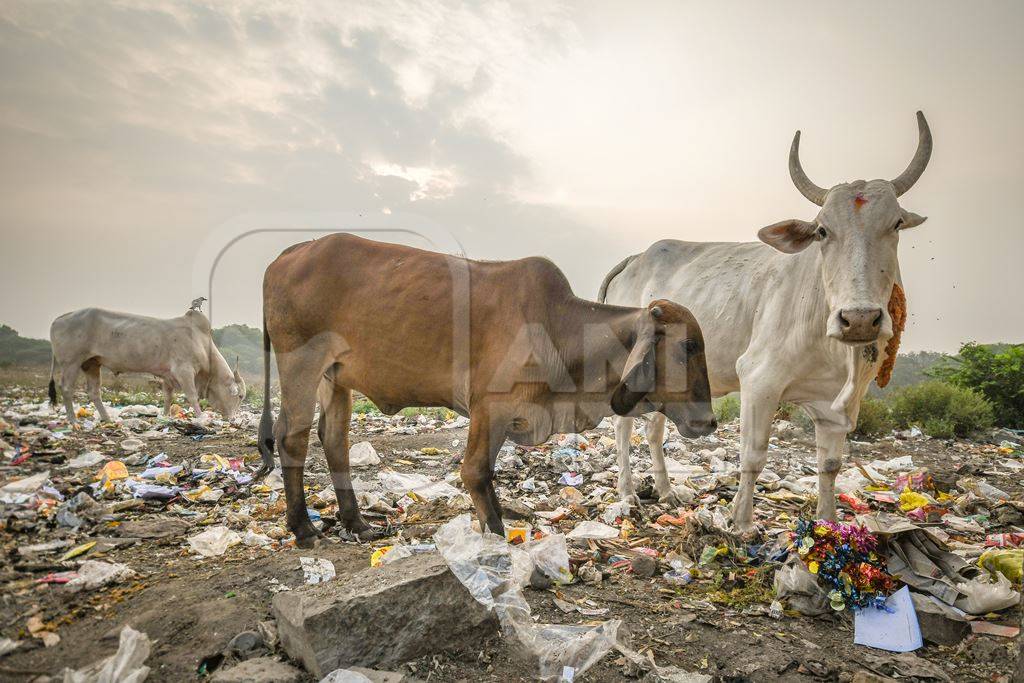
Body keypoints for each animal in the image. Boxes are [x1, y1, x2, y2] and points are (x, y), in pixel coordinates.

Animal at [49, 309, 245, 421]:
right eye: (240, 396)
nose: (234, 420)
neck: (202, 343)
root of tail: (58, 319)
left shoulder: (167, 374)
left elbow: (168, 397)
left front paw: (165, 416)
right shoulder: (184, 371)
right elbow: (192, 396)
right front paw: (202, 417)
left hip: (91, 364)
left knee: (94, 392)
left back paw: (107, 419)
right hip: (71, 362)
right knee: (66, 388)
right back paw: (73, 421)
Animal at [258, 232, 712, 548]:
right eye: (688, 346)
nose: (708, 421)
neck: (559, 330)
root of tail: (292, 252)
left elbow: (486, 475)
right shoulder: (487, 407)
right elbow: (475, 472)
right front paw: (495, 534)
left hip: (335, 377)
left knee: (334, 439)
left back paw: (356, 523)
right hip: (301, 364)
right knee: (292, 438)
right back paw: (303, 527)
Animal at [598, 111, 937, 532]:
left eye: (895, 224)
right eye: (822, 230)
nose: (859, 319)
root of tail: (635, 258)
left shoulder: (838, 405)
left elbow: (830, 464)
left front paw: (827, 523)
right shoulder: (759, 380)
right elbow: (754, 456)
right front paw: (742, 522)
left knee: (653, 429)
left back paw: (664, 492)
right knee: (622, 426)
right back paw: (628, 494)